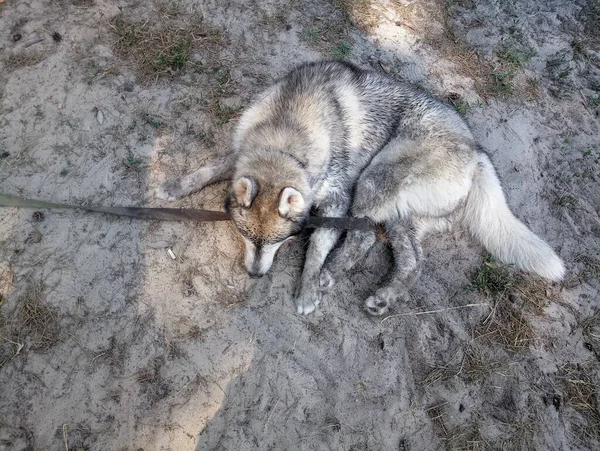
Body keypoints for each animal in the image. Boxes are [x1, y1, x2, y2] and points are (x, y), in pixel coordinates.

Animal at [154, 60, 564, 316]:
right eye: (246, 236)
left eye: (280, 241)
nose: (255, 275)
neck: (287, 131)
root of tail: (477, 152)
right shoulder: (243, 154)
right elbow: (211, 167)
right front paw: (176, 185)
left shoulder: (336, 200)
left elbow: (317, 249)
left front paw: (308, 287)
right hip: (400, 215)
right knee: (411, 260)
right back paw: (385, 296)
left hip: (373, 181)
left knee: (364, 237)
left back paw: (332, 273)